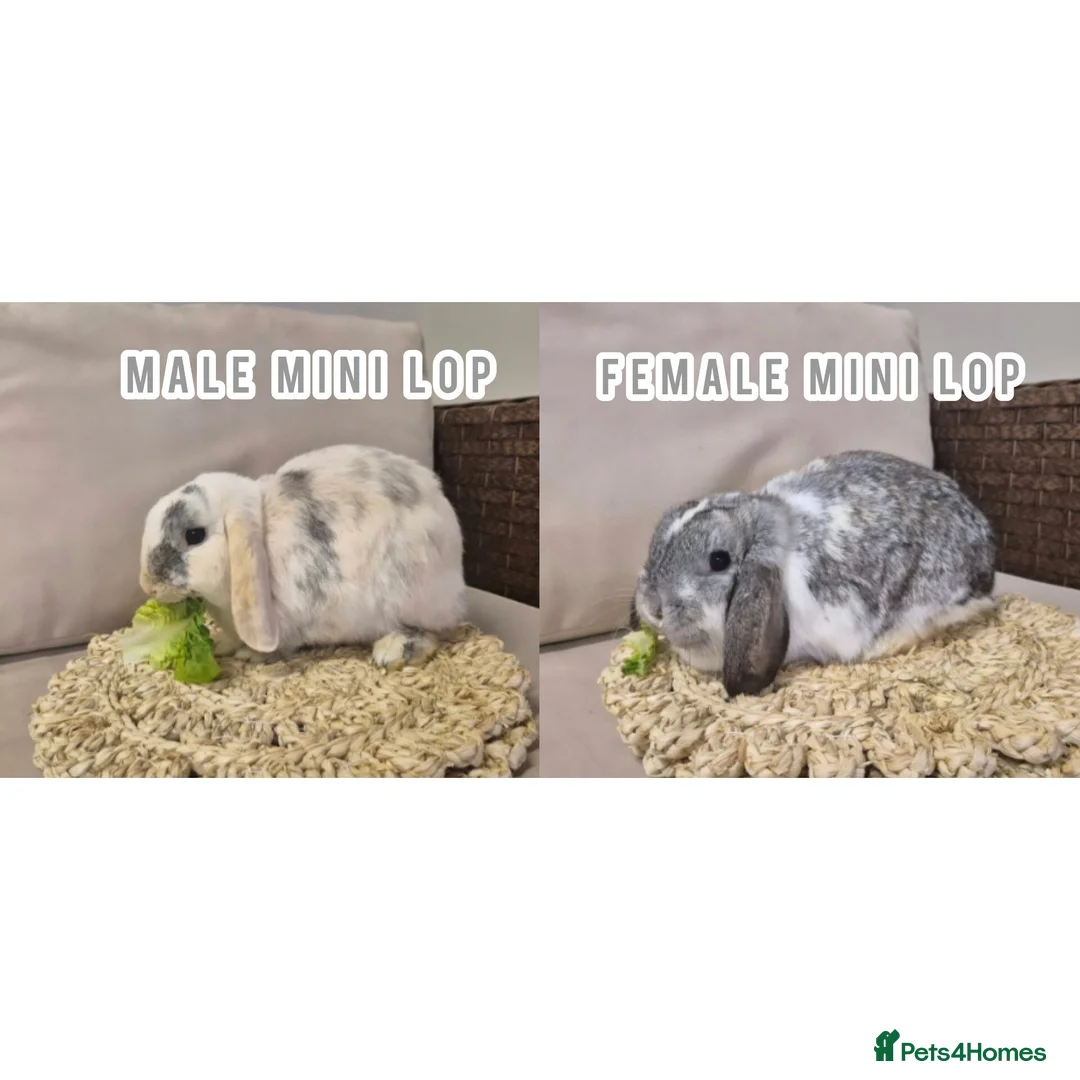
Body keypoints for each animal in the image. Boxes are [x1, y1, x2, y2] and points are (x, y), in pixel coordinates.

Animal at [139, 444, 467, 668]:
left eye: (194, 535)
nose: (148, 585)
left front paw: (250, 655)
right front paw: (220, 644)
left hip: (408, 591)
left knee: (431, 631)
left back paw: (392, 651)